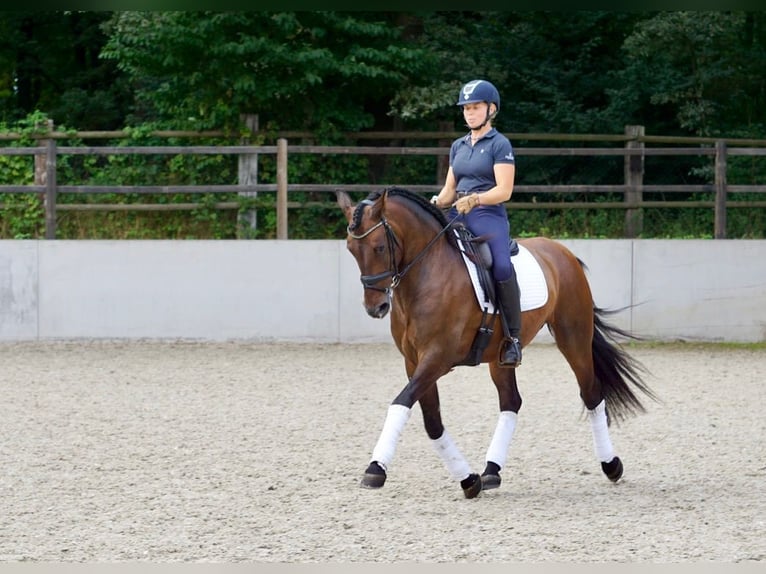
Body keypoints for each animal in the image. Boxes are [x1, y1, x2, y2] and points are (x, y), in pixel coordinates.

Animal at [337, 186, 658, 499]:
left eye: (379, 247)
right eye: (351, 249)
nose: (375, 307)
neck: (427, 272)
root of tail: (562, 251)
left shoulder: (437, 357)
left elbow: (401, 402)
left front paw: (375, 469)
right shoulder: (413, 361)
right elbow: (432, 421)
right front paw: (468, 480)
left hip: (573, 337)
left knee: (591, 393)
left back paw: (611, 465)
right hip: (500, 356)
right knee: (511, 401)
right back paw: (491, 471)